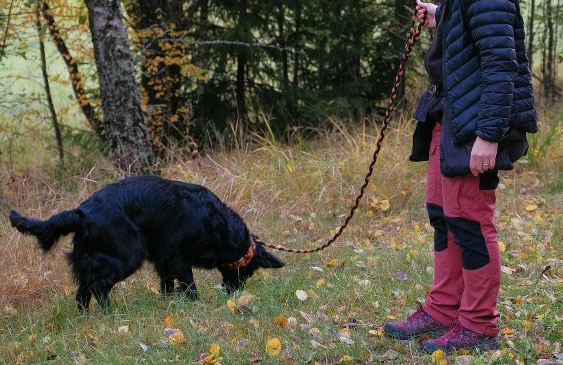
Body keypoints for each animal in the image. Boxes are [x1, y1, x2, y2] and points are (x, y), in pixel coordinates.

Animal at [12, 176, 286, 310]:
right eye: (247, 273)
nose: (233, 294)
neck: (222, 226)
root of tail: (81, 214)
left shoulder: (163, 259)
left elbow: (167, 284)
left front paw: (167, 304)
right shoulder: (177, 255)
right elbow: (189, 284)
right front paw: (196, 305)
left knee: (83, 292)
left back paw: (85, 319)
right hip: (126, 255)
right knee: (98, 288)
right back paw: (111, 313)